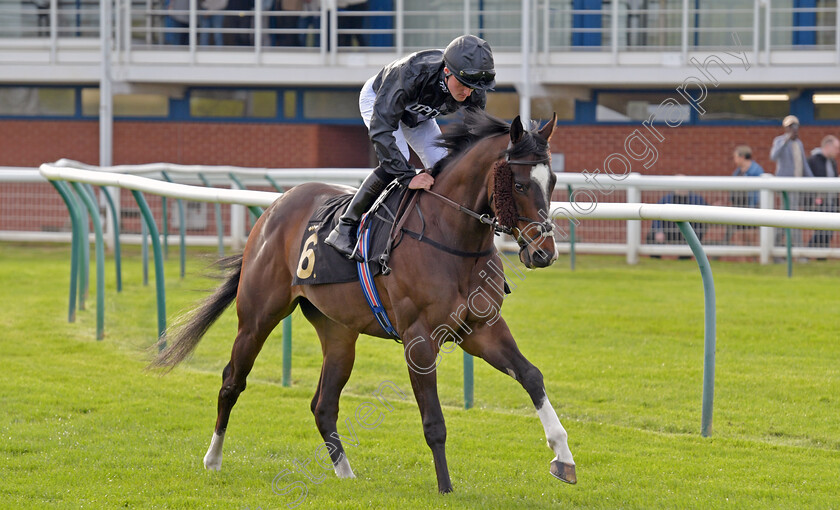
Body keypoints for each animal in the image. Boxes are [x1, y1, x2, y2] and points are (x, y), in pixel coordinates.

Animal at [153, 108, 576, 494]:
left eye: (553, 180)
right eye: (519, 184)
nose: (544, 253)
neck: (452, 238)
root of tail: (276, 205)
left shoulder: (481, 329)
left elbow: (531, 375)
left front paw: (564, 458)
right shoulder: (419, 340)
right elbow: (434, 422)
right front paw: (445, 488)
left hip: (339, 333)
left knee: (323, 405)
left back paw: (346, 474)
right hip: (257, 317)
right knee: (232, 382)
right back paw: (213, 459)